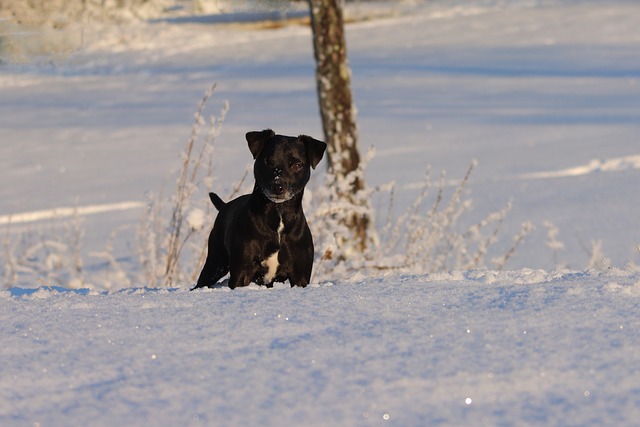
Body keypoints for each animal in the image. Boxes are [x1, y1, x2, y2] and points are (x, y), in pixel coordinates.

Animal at [191, 130, 324, 290]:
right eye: (267, 161)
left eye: (297, 165)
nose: (277, 186)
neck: (278, 216)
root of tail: (224, 205)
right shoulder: (242, 272)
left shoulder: (300, 275)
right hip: (215, 262)